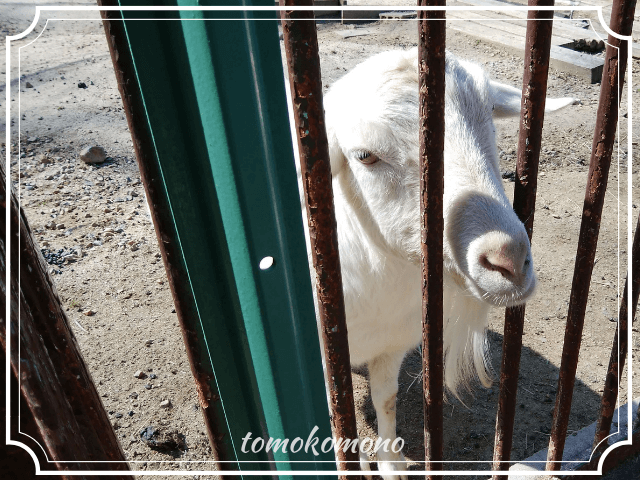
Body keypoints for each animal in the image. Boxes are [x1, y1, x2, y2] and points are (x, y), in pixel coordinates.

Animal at [298, 47, 576, 476]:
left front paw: (391, 464)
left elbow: (386, 398)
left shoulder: (394, 342)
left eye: (490, 117)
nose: (509, 260)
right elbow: (335, 412)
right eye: (364, 156)